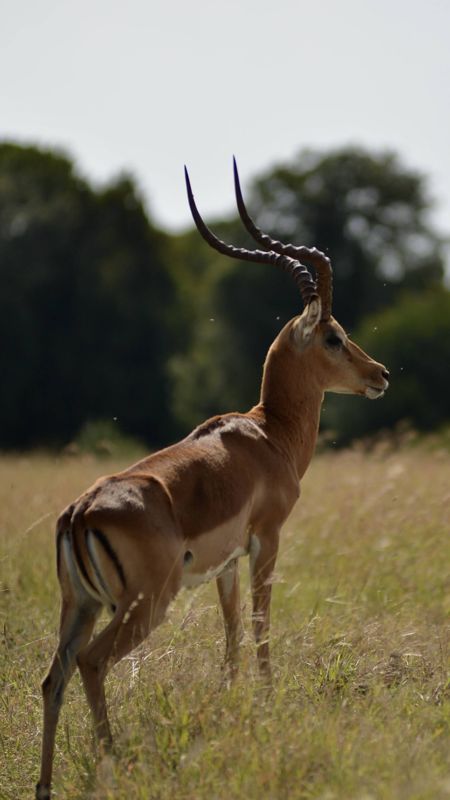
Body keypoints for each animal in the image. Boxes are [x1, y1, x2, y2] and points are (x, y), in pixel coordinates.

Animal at [36, 159, 389, 800]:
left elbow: (229, 637)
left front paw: (233, 706)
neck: (269, 434)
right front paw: (269, 704)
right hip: (145, 603)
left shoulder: (223, 562)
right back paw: (113, 762)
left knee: (54, 676)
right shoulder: (267, 539)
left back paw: (46, 785)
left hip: (80, 604)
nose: (380, 374)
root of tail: (81, 512)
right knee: (93, 663)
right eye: (333, 335)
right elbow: (261, 623)